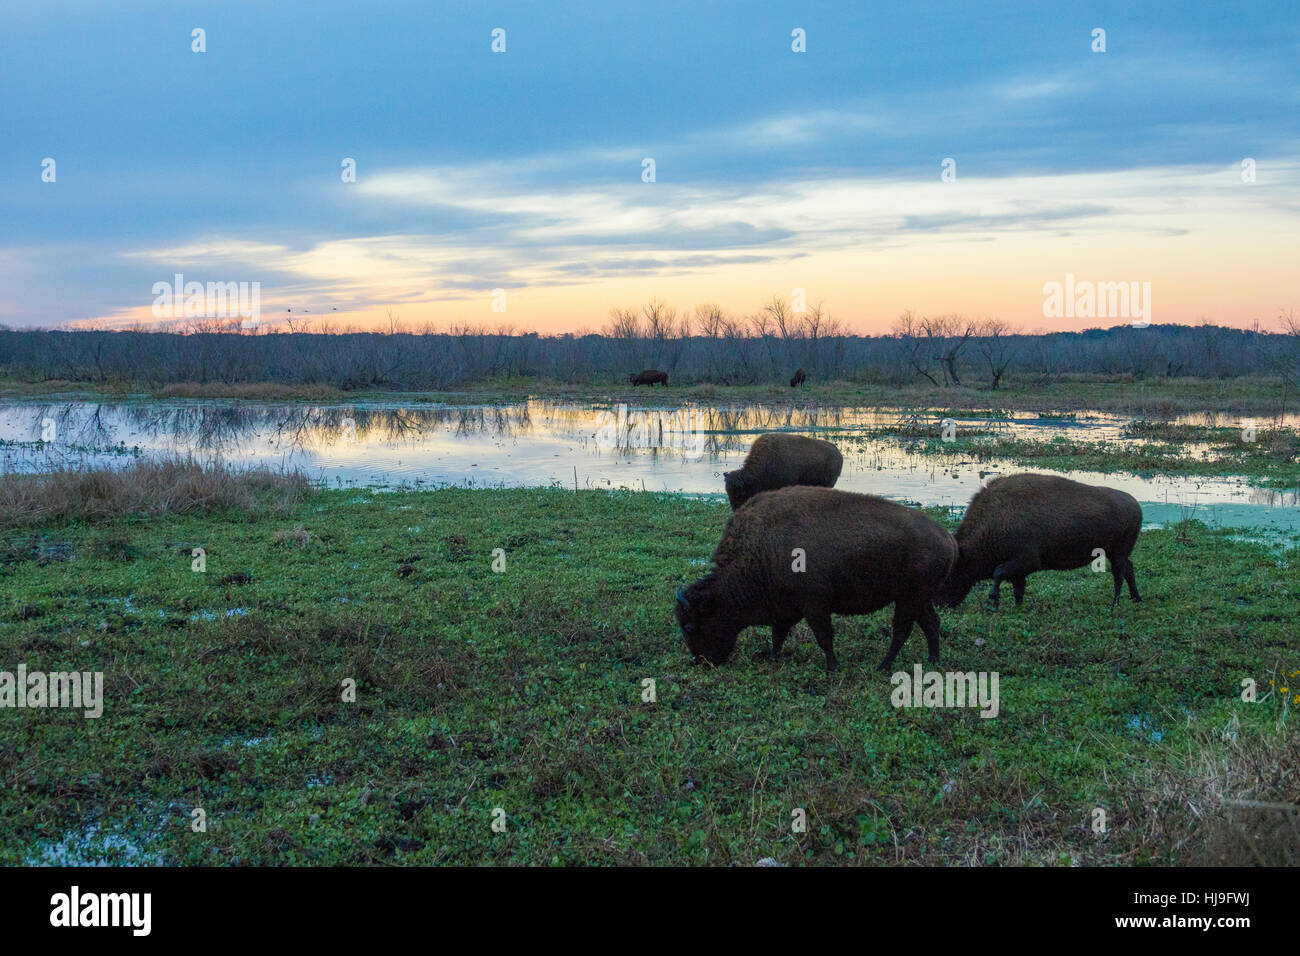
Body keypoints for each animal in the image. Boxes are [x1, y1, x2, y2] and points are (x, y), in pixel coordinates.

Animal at [676, 489, 961, 671]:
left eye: (690, 625)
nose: (701, 661)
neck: (759, 551)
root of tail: (947, 538)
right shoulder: (785, 609)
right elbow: (778, 636)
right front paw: (773, 659)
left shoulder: (814, 606)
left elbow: (824, 637)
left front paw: (833, 668)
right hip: (918, 599)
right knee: (931, 624)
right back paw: (933, 660)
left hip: (909, 599)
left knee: (902, 630)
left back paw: (883, 667)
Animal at [941, 473, 1144, 613]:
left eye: (950, 575)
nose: (941, 604)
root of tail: (1135, 504)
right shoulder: (1019, 570)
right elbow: (1018, 588)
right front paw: (1018, 607)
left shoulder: (1027, 561)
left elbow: (998, 574)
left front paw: (993, 602)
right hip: (1116, 553)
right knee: (1128, 569)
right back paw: (1136, 599)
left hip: (1117, 553)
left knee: (1118, 575)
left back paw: (1114, 604)